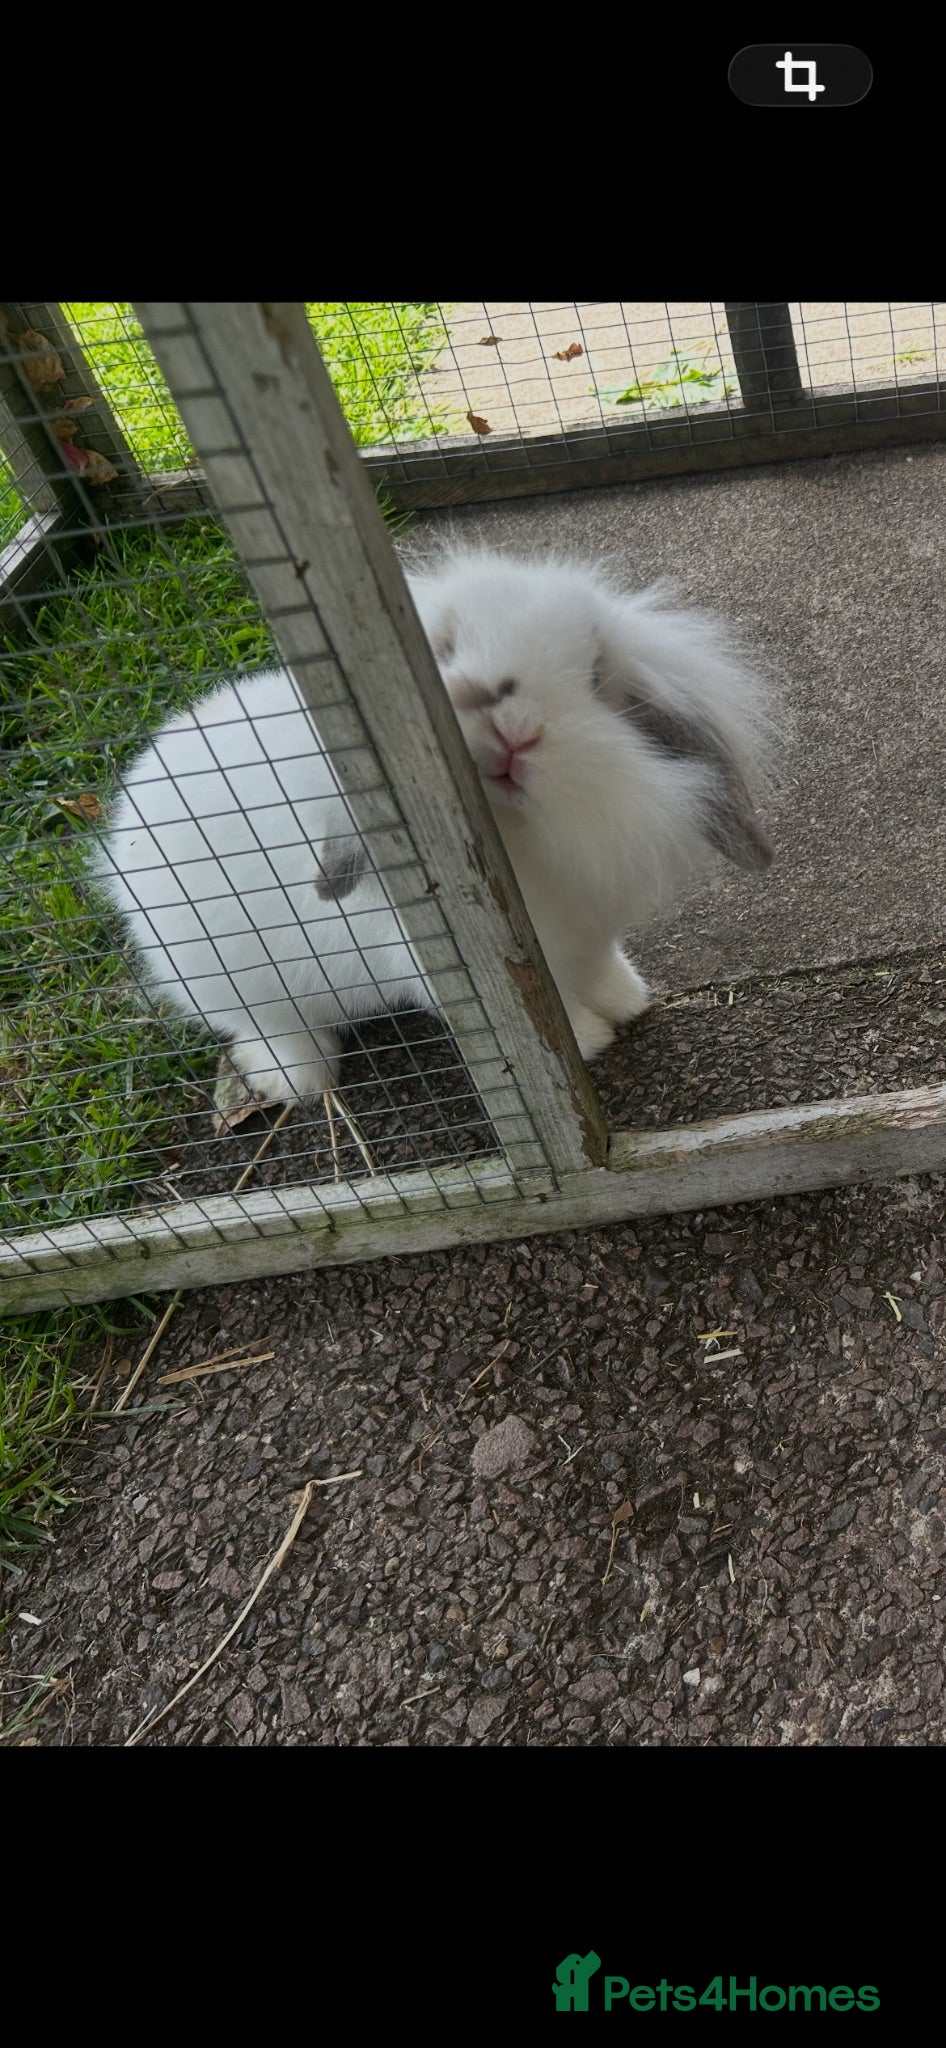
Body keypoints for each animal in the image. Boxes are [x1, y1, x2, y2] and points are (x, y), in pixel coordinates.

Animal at [92, 546, 774, 1103]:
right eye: (443, 653)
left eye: (593, 676)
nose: (515, 730)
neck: (520, 841)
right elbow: (540, 1017)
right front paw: (589, 1041)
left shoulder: (591, 928)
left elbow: (598, 967)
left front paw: (628, 1002)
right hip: (232, 981)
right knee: (274, 1032)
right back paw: (304, 1084)